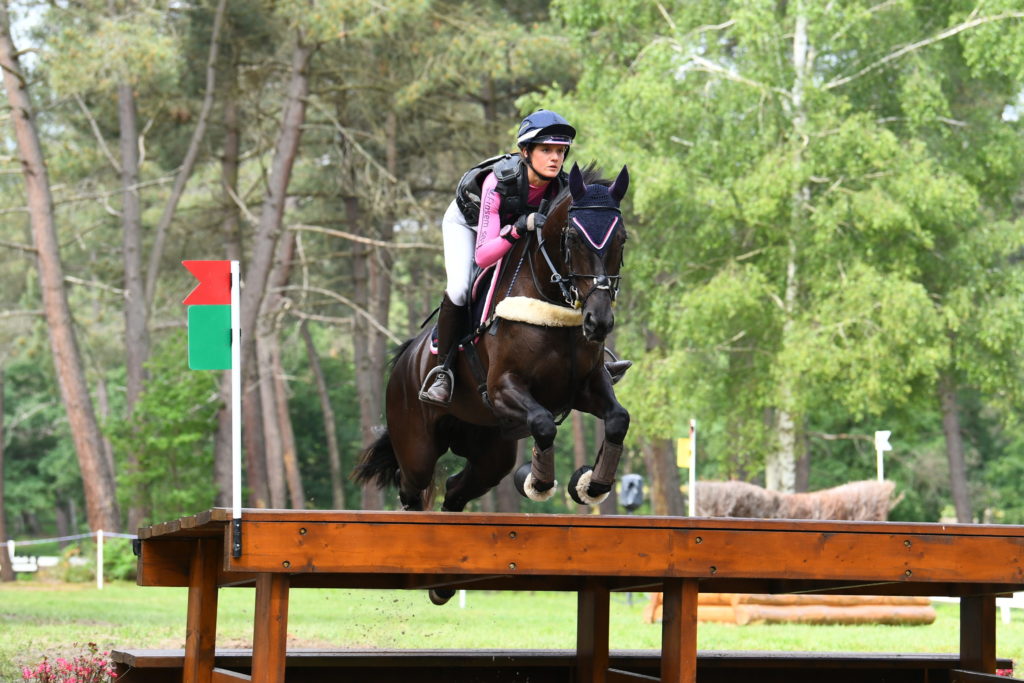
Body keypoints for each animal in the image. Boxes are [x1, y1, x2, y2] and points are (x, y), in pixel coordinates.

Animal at [356, 162, 630, 528]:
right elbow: (543, 423)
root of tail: (405, 361)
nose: (598, 322)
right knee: (412, 486)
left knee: (457, 489)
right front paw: (538, 482)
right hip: (417, 446)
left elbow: (618, 419)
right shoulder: (503, 387)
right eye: (572, 237)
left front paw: (592, 485)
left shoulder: (586, 385)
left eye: (622, 239)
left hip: (490, 449)